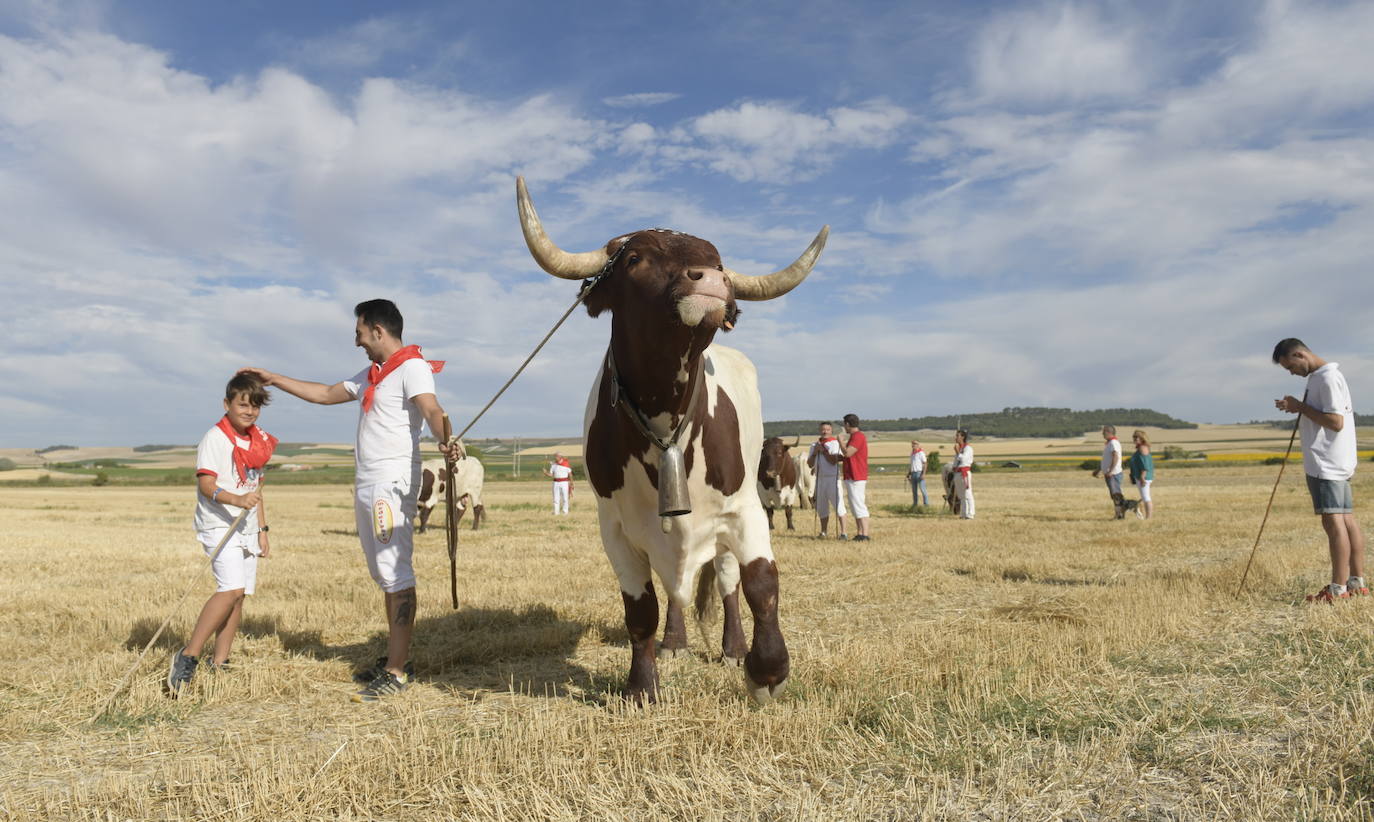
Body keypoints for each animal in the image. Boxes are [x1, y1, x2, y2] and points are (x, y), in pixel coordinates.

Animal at [516, 177, 824, 703]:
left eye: (718, 259)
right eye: (636, 258)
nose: (711, 280)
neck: (666, 420)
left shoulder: (745, 510)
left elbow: (761, 584)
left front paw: (767, 672)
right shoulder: (616, 529)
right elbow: (642, 609)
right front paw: (642, 685)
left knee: (726, 582)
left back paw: (732, 647)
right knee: (675, 587)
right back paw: (675, 642)